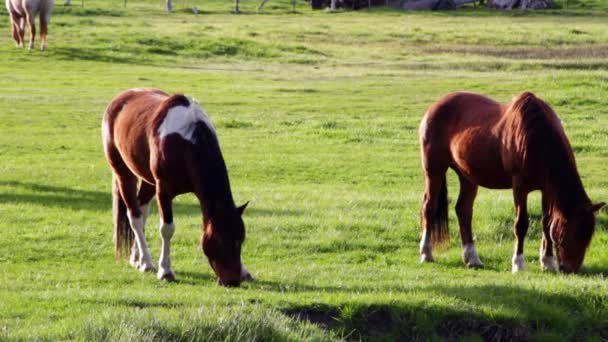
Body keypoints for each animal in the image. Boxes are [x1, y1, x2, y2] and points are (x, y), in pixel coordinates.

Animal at [103, 88, 251, 286]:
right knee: (134, 216)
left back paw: (137, 258)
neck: (185, 143)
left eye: (240, 240)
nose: (232, 281)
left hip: (148, 181)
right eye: (221, 240)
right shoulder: (164, 191)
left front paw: (245, 271)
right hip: (123, 173)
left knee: (142, 211)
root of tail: (119, 99)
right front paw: (165, 271)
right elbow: (167, 229)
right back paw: (147, 262)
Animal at [418, 92, 604, 274]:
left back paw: (472, 258)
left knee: (464, 211)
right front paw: (518, 263)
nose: (571, 269)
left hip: (468, 176)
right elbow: (521, 224)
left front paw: (547, 261)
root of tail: (433, 108)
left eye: (588, 236)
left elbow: (547, 222)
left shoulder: (546, 189)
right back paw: (426, 253)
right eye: (572, 232)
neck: (537, 137)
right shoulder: (519, 186)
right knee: (429, 207)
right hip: (434, 170)